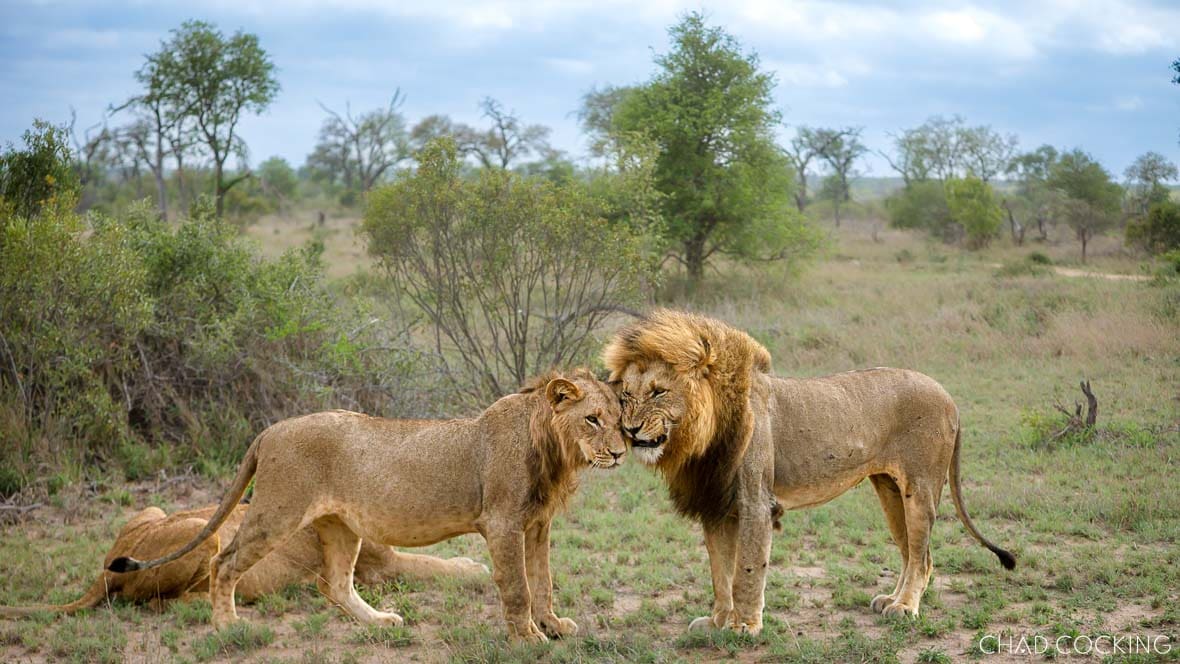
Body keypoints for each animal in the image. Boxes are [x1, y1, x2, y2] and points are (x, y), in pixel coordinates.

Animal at [106, 369, 626, 642]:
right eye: (592, 420)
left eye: (620, 418)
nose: (622, 452)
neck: (555, 453)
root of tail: (270, 430)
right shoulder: (502, 525)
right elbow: (517, 587)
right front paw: (529, 637)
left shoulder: (537, 526)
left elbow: (544, 582)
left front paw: (554, 625)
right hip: (278, 512)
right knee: (224, 560)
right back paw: (229, 626)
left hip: (339, 526)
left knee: (334, 585)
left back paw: (380, 622)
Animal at [603, 310, 1015, 634]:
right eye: (626, 395)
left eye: (658, 392)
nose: (630, 430)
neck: (699, 438)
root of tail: (949, 396)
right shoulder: (716, 506)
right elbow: (720, 573)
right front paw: (718, 621)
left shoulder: (755, 502)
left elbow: (746, 570)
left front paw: (745, 626)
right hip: (890, 491)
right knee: (917, 555)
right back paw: (891, 601)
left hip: (921, 487)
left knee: (921, 555)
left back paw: (905, 608)